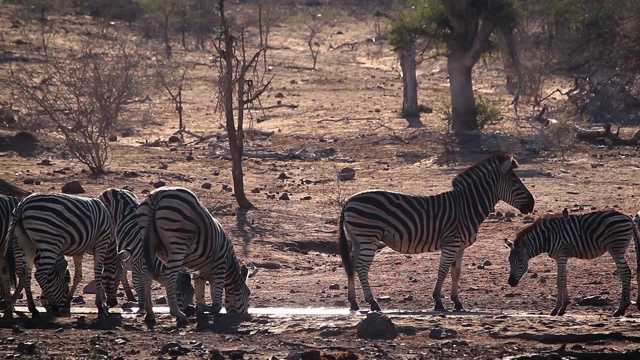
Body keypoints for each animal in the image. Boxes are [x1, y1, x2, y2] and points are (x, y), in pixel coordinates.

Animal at [98, 188, 195, 316]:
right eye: (178, 293)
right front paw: (142, 309)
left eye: (193, 291)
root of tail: (114, 189)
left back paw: (130, 296)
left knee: (122, 269)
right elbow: (141, 292)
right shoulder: (137, 272)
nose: (191, 310)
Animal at [140, 186, 258, 326]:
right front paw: (198, 308)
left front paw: (198, 307)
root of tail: (158, 194)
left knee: (146, 274)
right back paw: (179, 314)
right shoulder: (219, 267)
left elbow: (199, 293)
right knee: (169, 276)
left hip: (146, 241)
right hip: (178, 242)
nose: (246, 316)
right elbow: (217, 305)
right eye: (248, 293)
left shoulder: (199, 272)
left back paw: (150, 314)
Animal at [338, 153, 536, 312]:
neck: (466, 207)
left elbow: (456, 272)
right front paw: (439, 302)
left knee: (352, 265)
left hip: (357, 239)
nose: (532, 204)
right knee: (362, 266)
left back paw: (354, 302)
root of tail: (348, 201)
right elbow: (443, 270)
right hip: (368, 237)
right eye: (516, 182)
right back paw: (372, 302)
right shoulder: (451, 242)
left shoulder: (460, 246)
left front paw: (457, 302)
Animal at [504, 210, 640, 316]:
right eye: (509, 260)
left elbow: (559, 280)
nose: (511, 282)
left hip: (616, 247)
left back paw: (620, 309)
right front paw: (563, 307)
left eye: (520, 261)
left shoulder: (561, 254)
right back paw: (625, 307)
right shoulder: (560, 257)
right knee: (627, 272)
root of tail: (628, 217)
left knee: (625, 273)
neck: (547, 238)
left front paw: (556, 309)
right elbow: (563, 278)